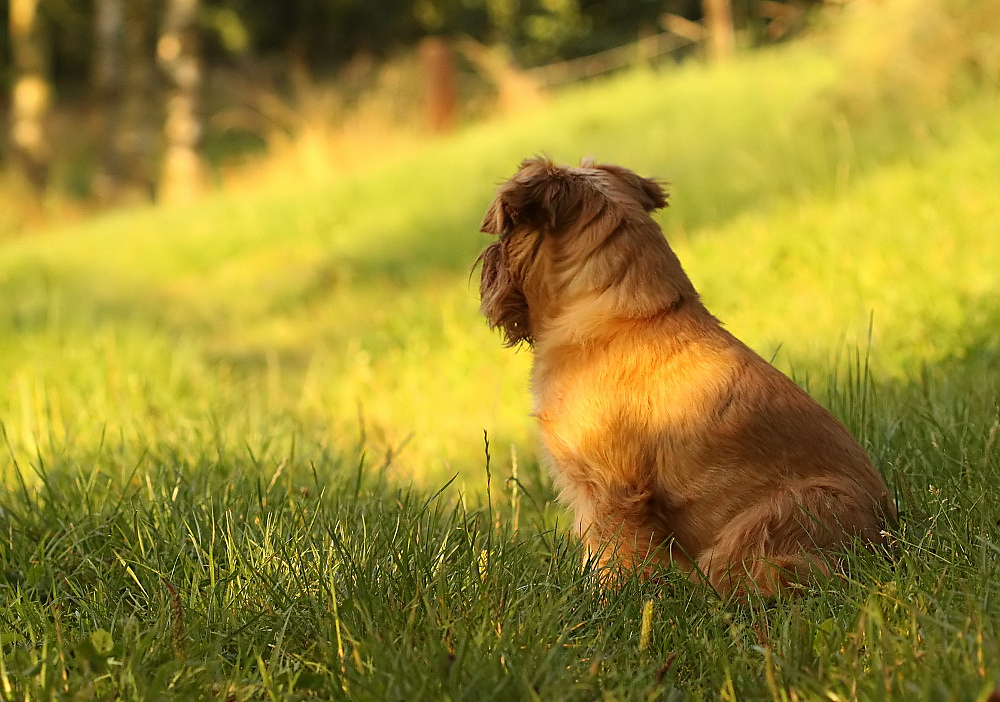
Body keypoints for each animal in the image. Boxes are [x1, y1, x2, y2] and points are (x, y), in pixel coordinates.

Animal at [480, 157, 896, 596]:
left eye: (507, 231)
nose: (488, 261)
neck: (623, 315)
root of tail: (886, 543)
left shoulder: (611, 491)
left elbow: (613, 557)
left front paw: (609, 600)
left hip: (772, 518)